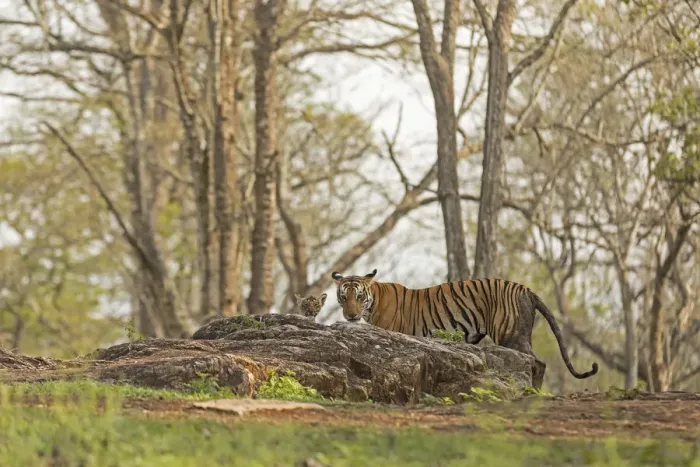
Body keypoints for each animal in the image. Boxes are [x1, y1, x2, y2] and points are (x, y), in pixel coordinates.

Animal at [331, 269, 598, 384]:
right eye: (344, 296)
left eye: (359, 296)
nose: (351, 315)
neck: (373, 300)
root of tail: (526, 289)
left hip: (510, 335)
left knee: (538, 363)